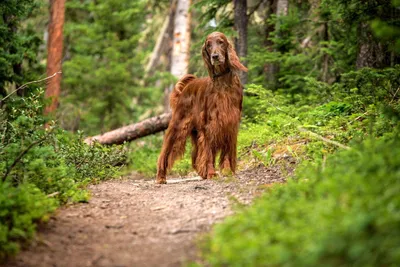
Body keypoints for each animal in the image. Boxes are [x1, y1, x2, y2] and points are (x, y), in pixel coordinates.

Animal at [156, 31, 247, 184]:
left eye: (221, 42)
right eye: (208, 45)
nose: (215, 56)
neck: (223, 83)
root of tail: (186, 86)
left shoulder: (230, 123)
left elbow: (226, 150)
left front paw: (227, 170)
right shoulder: (208, 126)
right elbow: (208, 153)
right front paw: (211, 173)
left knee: (195, 157)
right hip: (178, 126)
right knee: (165, 153)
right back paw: (161, 177)